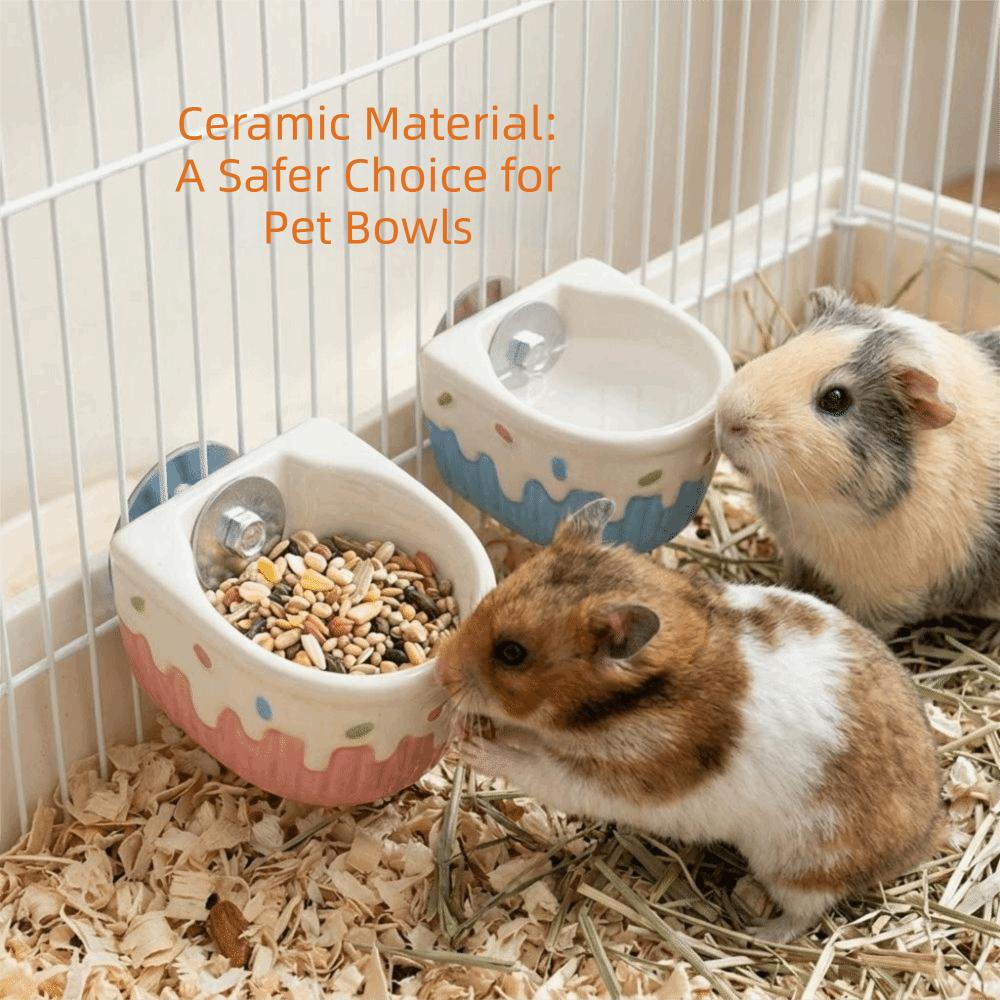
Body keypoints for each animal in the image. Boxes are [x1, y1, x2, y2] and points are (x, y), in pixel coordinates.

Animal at [436, 498, 942, 944]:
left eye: (511, 653)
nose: (441, 671)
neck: (625, 702)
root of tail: (926, 835)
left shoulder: (617, 778)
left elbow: (535, 767)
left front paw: (468, 747)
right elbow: (524, 737)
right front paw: (463, 730)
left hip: (802, 863)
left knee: (809, 911)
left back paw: (758, 932)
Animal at [715, 288, 1000, 636]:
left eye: (836, 398)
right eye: (789, 344)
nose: (728, 417)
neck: (815, 510)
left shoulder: (884, 598)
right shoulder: (795, 550)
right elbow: (794, 577)